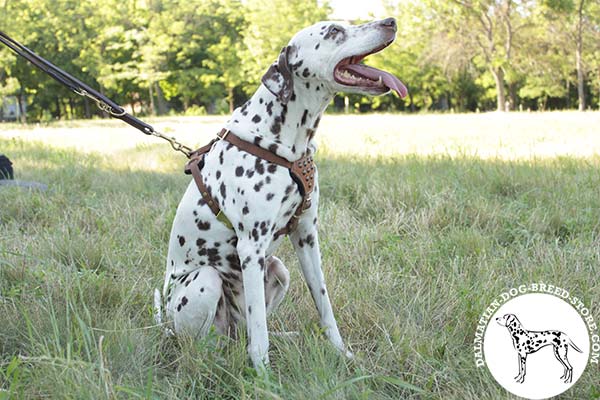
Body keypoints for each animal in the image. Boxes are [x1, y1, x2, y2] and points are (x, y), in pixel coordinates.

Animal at [155, 18, 408, 368]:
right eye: (334, 31)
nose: (390, 21)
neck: (285, 141)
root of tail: (165, 324)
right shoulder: (251, 246)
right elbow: (259, 334)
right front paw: (263, 372)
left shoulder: (307, 237)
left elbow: (324, 305)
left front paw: (342, 352)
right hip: (206, 280)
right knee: (213, 343)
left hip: (279, 270)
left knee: (245, 331)